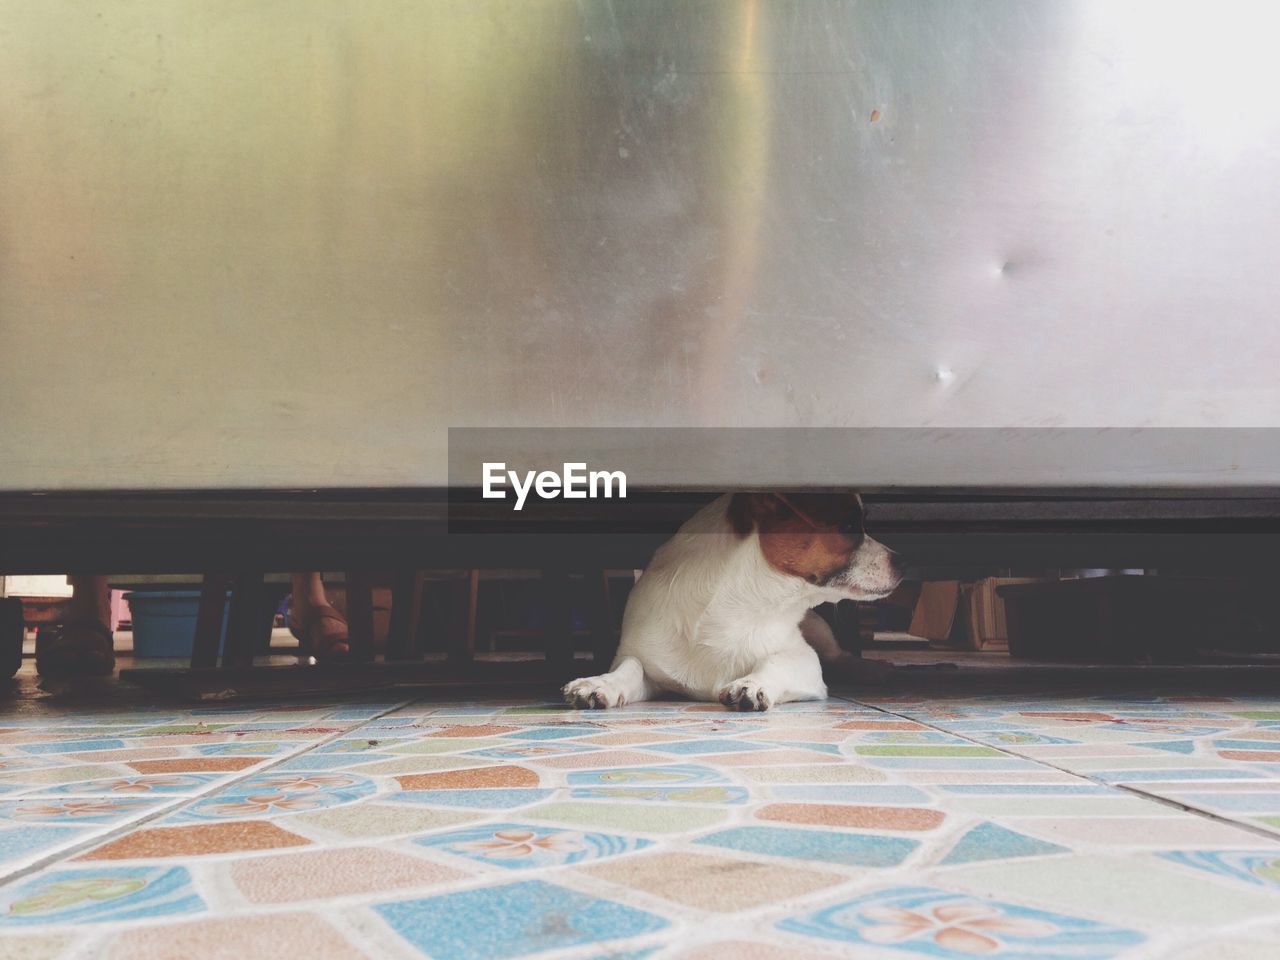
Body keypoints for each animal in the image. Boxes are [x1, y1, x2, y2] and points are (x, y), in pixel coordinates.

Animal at [565, 496, 906, 716]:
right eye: (849, 527)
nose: (903, 562)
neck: (746, 605)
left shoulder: (805, 660)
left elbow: (775, 662)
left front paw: (753, 684)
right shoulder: (648, 664)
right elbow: (629, 667)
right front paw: (599, 683)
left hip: (819, 631)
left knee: (840, 656)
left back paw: (873, 669)